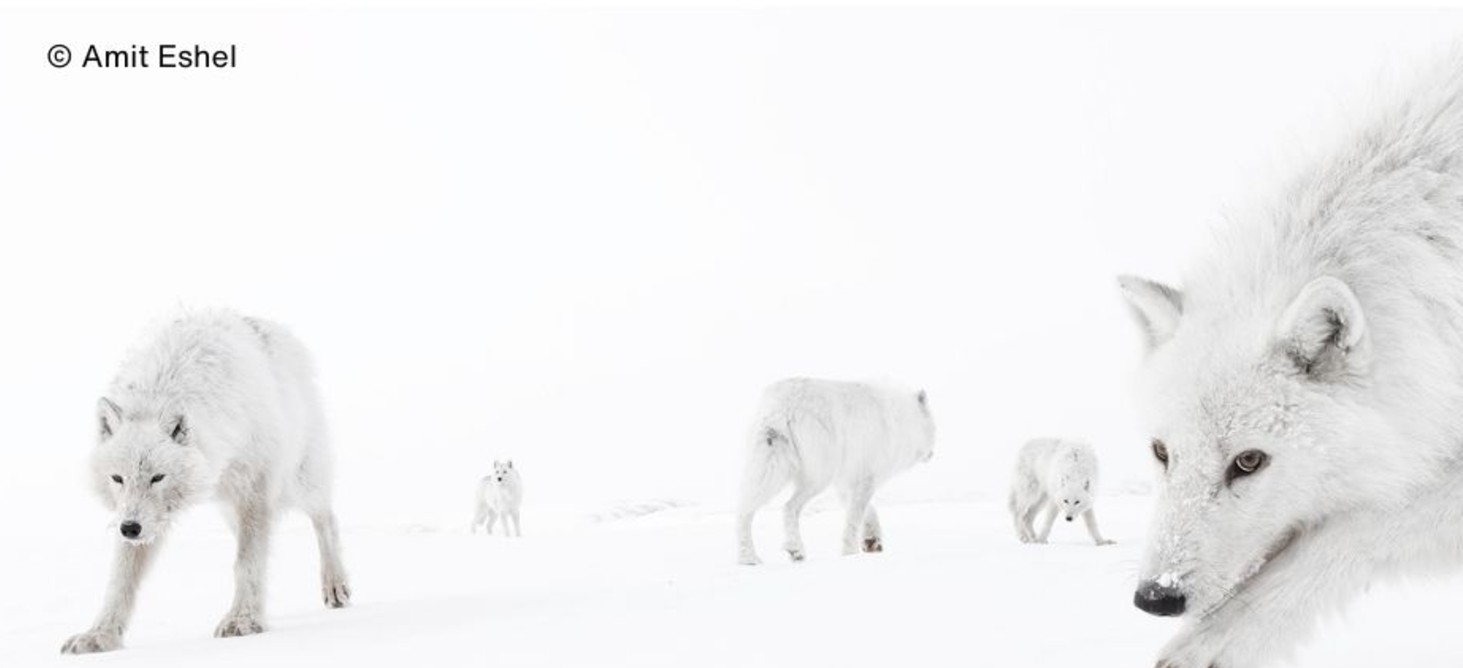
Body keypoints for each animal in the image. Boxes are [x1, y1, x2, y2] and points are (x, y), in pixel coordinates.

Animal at [61, 310, 349, 654]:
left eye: (157, 477)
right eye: (117, 478)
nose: (129, 529)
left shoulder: (254, 492)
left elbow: (246, 562)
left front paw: (242, 620)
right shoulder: (139, 517)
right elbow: (120, 580)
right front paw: (100, 636)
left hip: (298, 481)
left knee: (326, 518)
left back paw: (335, 584)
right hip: (229, 508)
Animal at [736, 378, 935, 565]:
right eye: (933, 428)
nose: (933, 454)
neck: (901, 417)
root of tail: (786, 403)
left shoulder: (847, 483)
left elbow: (867, 511)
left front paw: (871, 540)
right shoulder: (866, 480)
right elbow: (854, 519)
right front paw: (850, 554)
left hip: (769, 471)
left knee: (744, 511)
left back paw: (749, 558)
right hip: (817, 479)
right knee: (788, 507)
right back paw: (795, 550)